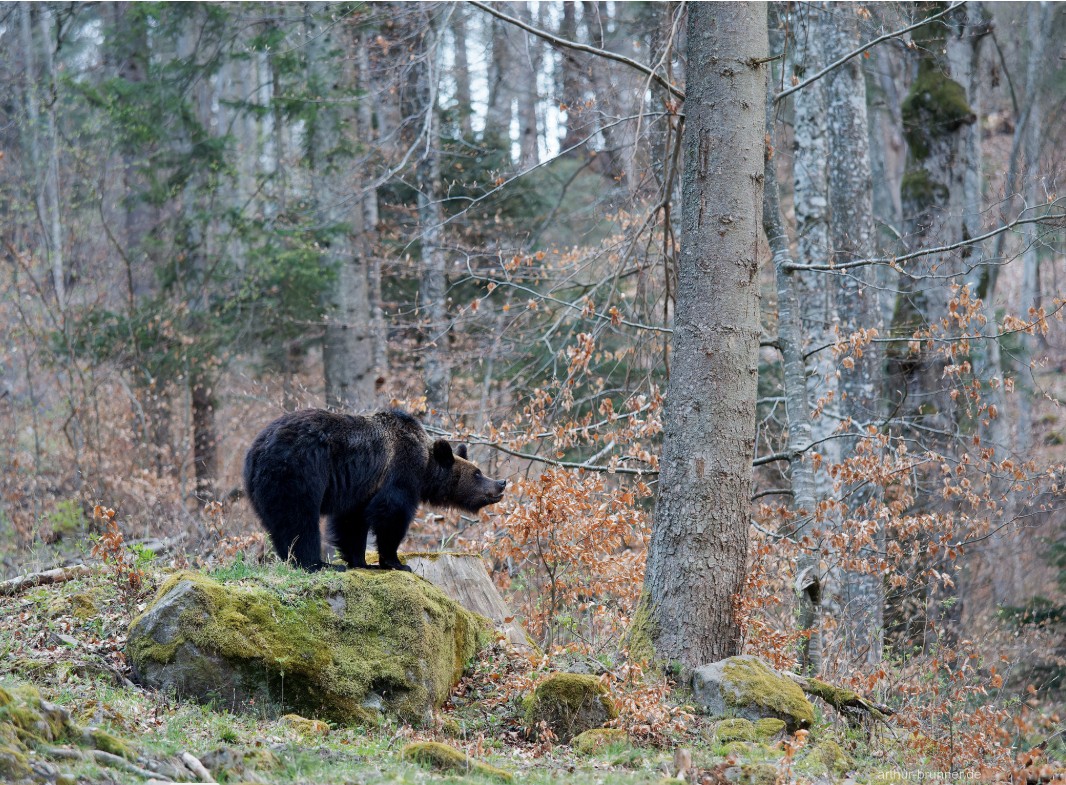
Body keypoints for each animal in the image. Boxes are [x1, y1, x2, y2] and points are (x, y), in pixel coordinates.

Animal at [243, 409, 507, 572]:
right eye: (477, 473)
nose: (501, 483)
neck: (424, 468)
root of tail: (256, 448)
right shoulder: (400, 471)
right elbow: (392, 512)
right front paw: (397, 562)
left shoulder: (361, 489)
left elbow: (352, 522)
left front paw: (360, 560)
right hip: (298, 471)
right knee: (299, 519)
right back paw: (317, 563)